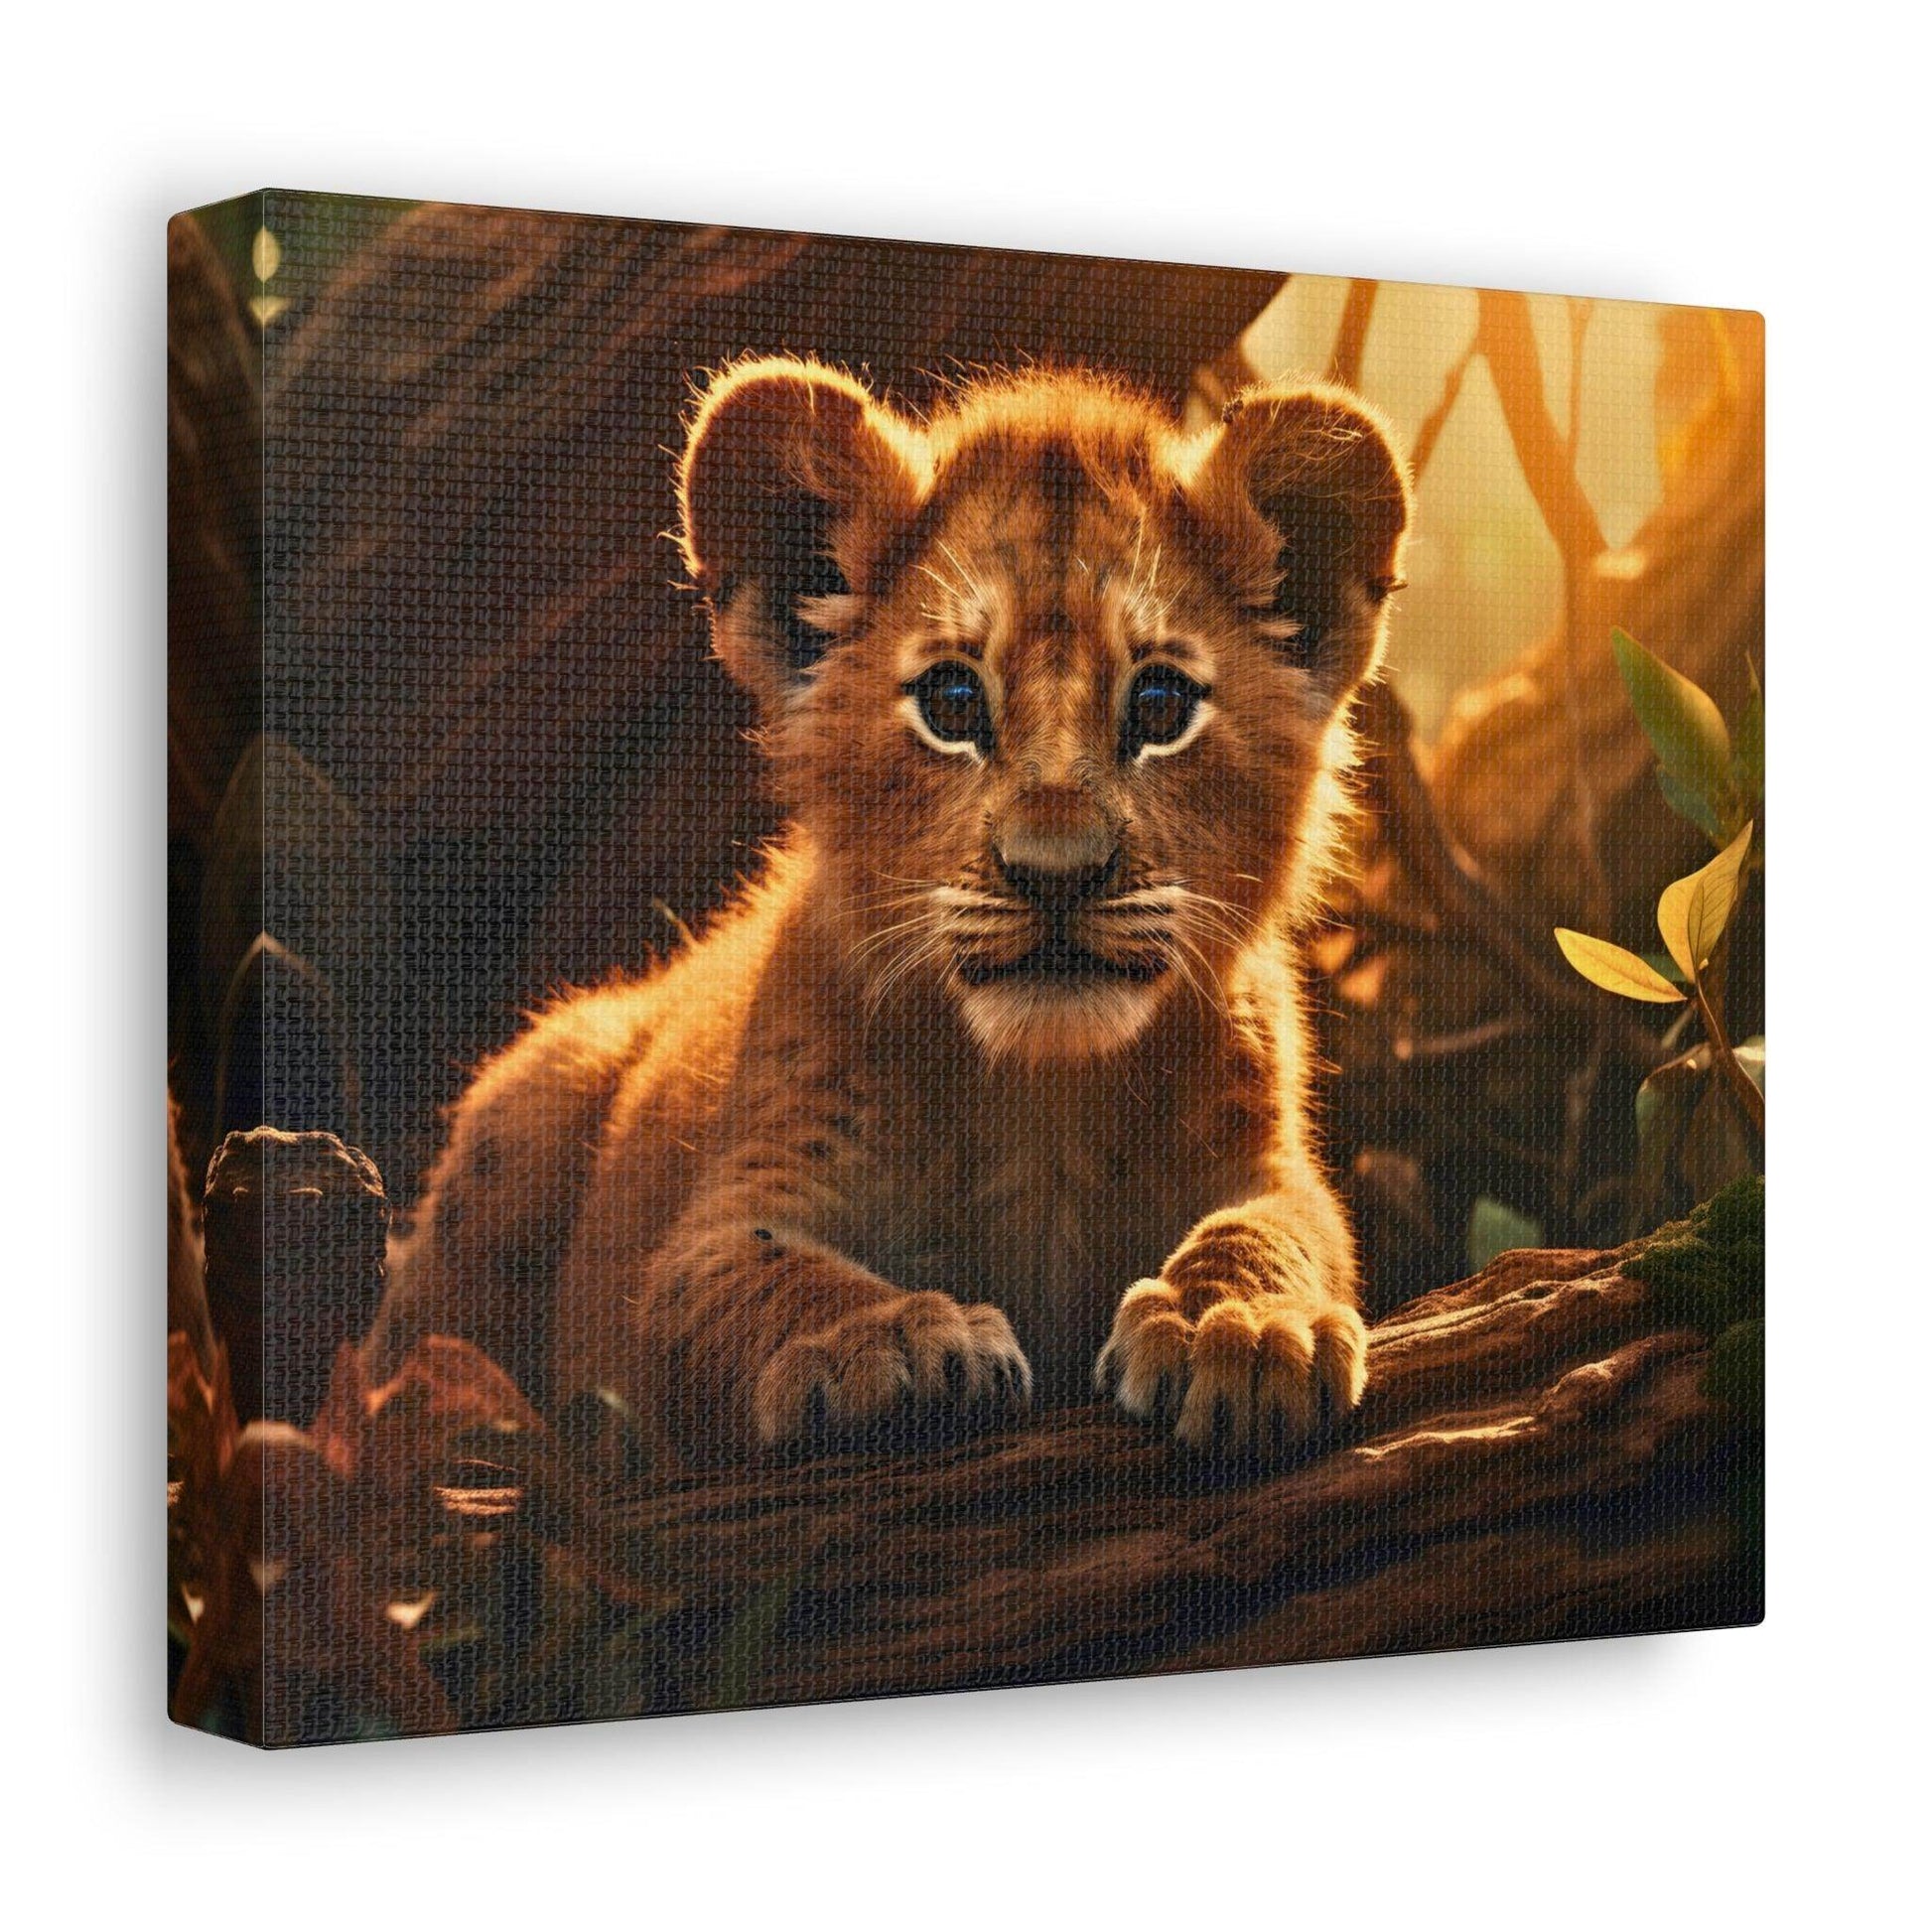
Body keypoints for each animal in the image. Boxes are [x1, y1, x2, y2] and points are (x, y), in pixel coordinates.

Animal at [366, 356, 1410, 1466]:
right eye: (951, 703)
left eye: (1161, 705)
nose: (1056, 873)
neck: (1041, 1099)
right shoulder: (720, 1218)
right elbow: (768, 1276)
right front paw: (893, 1338)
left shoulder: (1266, 1164)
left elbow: (1274, 1229)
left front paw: (1242, 1324)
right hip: (536, 1093)